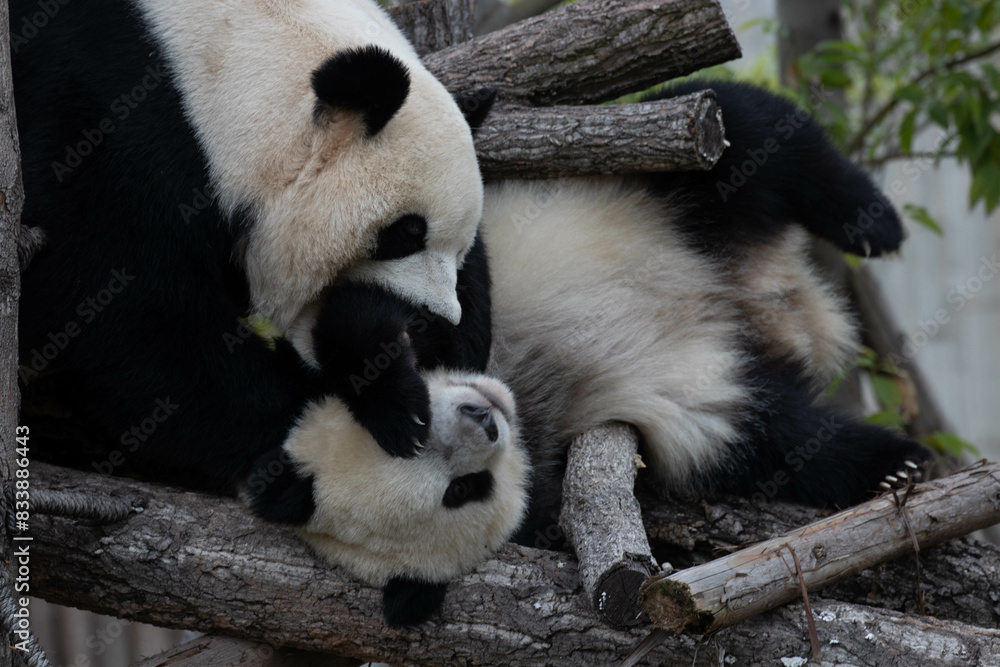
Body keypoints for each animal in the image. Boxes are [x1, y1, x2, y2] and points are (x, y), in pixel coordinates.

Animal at [13, 0, 521, 627]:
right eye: (405, 232)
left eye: (460, 242)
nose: (430, 324)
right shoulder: (92, 118)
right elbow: (125, 317)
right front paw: (370, 414)